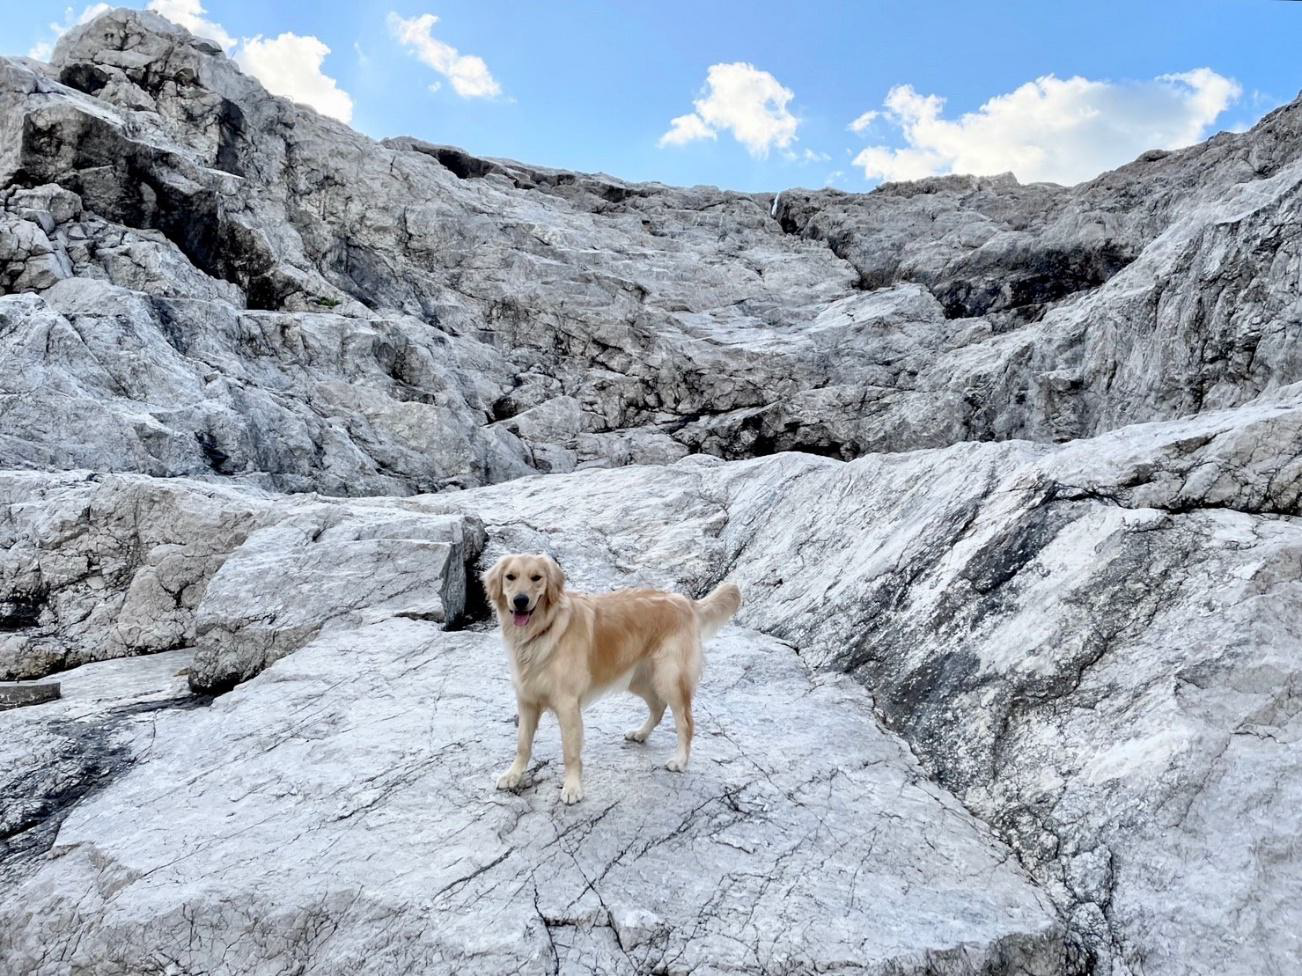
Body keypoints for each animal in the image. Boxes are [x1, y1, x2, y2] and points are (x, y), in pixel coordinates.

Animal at [481, 554, 744, 806]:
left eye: (537, 578)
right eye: (510, 577)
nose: (520, 600)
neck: (540, 632)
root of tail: (685, 601)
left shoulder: (567, 705)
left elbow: (570, 752)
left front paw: (572, 788)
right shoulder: (526, 701)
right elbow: (522, 744)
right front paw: (513, 775)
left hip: (670, 679)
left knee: (685, 722)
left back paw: (679, 760)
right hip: (639, 679)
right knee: (658, 707)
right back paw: (640, 733)